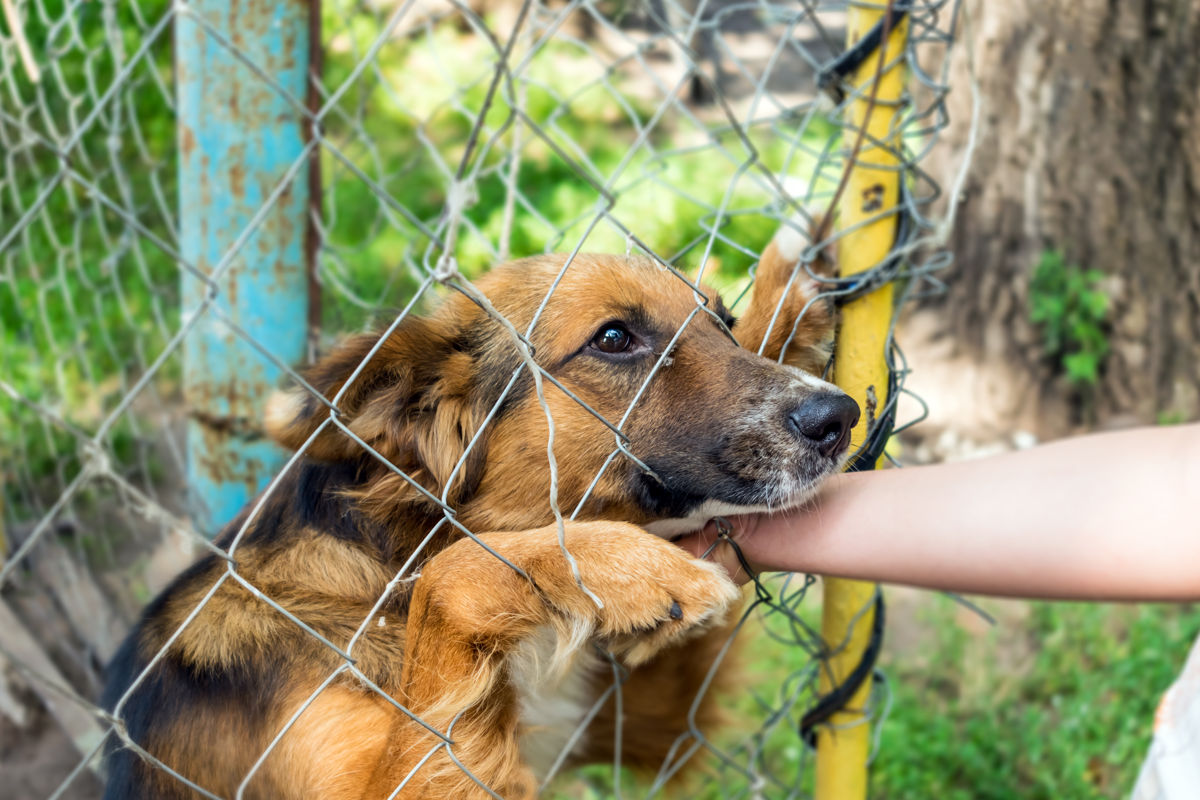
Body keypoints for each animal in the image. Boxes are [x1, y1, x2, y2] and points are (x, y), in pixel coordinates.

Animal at [100, 220, 854, 800]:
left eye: (721, 322)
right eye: (614, 338)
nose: (839, 418)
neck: (390, 559)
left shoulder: (643, 727)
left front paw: (790, 287)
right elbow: (456, 573)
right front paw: (621, 567)